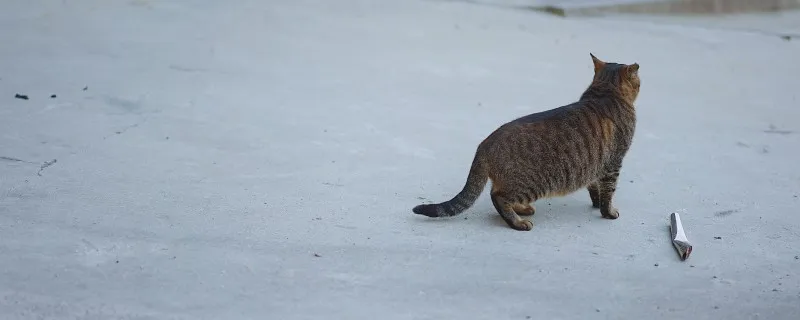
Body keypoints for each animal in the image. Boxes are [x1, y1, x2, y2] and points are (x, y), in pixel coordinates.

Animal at [416, 53, 640, 231]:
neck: (605, 93)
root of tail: (484, 144)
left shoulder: (597, 165)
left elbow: (594, 186)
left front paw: (596, 203)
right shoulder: (614, 163)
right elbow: (608, 192)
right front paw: (608, 212)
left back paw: (521, 210)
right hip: (533, 183)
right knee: (498, 197)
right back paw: (517, 222)